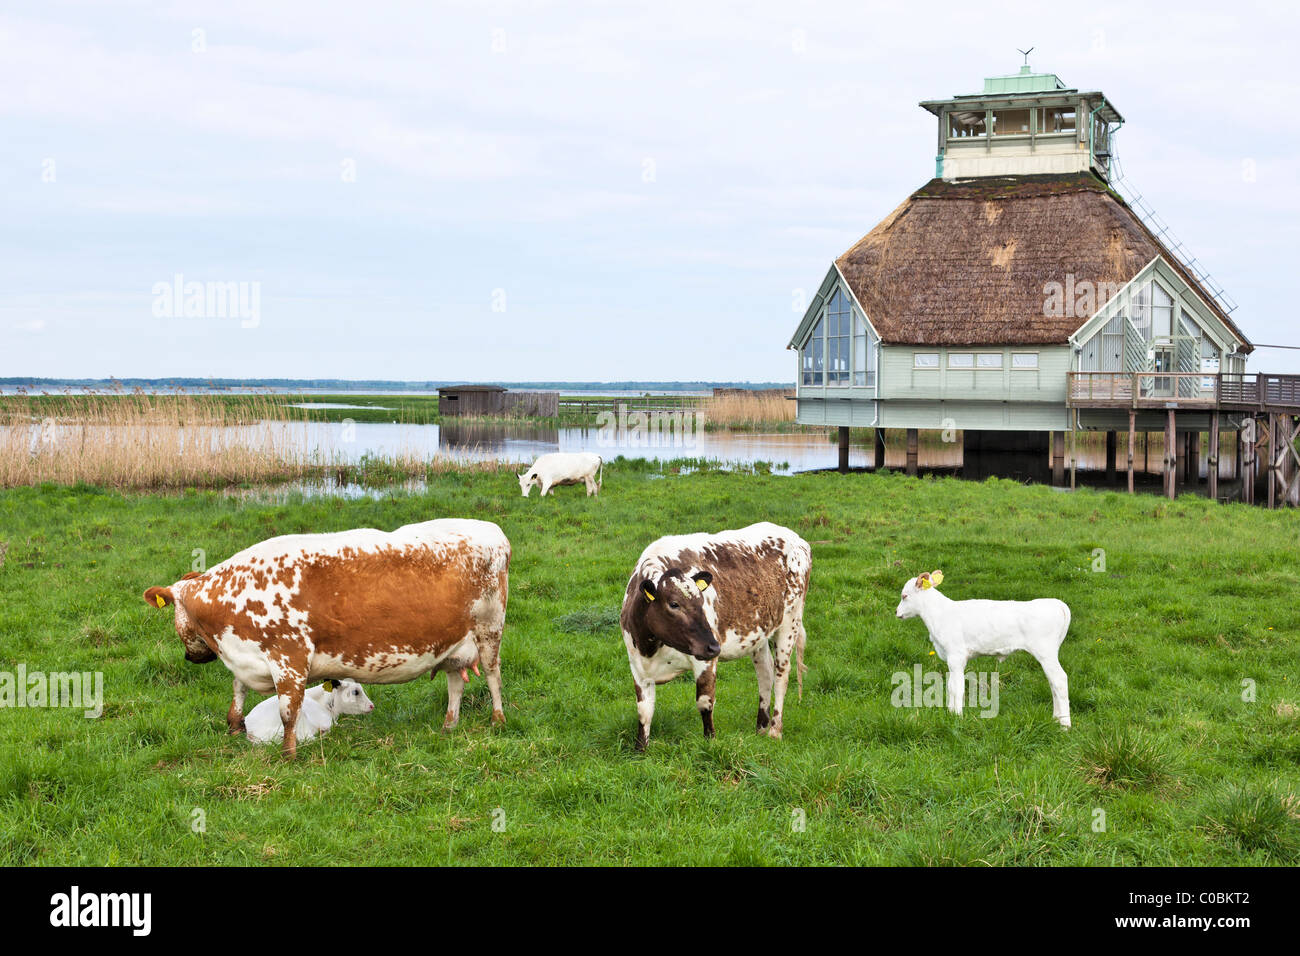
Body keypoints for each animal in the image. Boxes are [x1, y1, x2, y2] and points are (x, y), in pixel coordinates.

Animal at [621, 528, 811, 749]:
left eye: (701, 601)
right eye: (674, 604)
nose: (713, 646)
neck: (650, 648)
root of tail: (795, 537)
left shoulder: (705, 661)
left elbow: (704, 702)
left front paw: (710, 741)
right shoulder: (637, 666)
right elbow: (644, 710)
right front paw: (640, 749)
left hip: (790, 621)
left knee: (781, 674)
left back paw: (774, 731)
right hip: (759, 633)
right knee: (765, 673)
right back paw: (761, 729)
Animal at [899, 572, 1071, 728]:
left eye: (904, 595)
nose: (896, 612)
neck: (940, 615)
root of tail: (1056, 603)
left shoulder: (956, 656)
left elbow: (957, 687)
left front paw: (957, 716)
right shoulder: (950, 658)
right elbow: (950, 686)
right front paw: (950, 712)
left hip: (1046, 652)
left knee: (1059, 680)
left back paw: (1065, 725)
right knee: (1052, 683)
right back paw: (1056, 719)